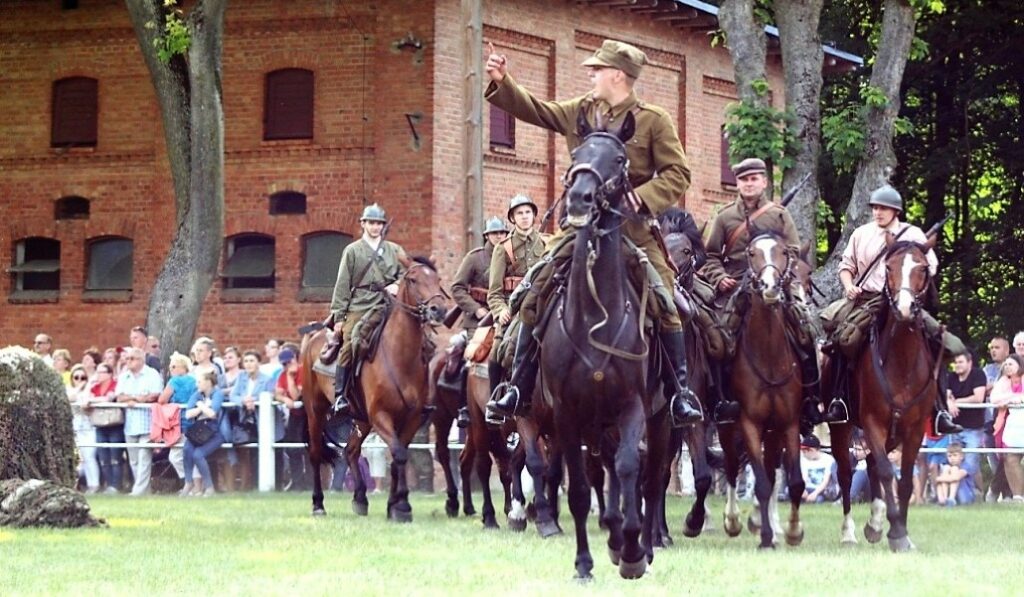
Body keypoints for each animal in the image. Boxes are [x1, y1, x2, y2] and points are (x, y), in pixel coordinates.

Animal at [301, 259, 450, 520]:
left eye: (437, 279)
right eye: (413, 280)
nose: (438, 310)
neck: (400, 356)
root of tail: (313, 337)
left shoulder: (411, 418)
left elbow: (399, 457)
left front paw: (394, 504)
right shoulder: (381, 416)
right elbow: (399, 454)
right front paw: (402, 506)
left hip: (362, 419)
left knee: (351, 451)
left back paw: (360, 498)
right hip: (316, 411)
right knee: (316, 453)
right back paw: (318, 504)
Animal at [540, 111, 667, 577]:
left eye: (618, 158)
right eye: (578, 151)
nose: (580, 198)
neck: (595, 316)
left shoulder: (633, 407)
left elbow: (631, 470)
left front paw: (632, 552)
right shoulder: (566, 415)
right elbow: (579, 489)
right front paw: (584, 561)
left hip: (662, 420)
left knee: (650, 477)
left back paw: (642, 543)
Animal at [720, 229, 806, 552]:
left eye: (783, 252)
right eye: (752, 253)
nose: (770, 287)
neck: (769, 357)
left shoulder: (789, 423)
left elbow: (793, 482)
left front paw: (793, 531)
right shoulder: (749, 424)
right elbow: (761, 483)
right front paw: (767, 537)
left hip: (773, 432)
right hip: (726, 426)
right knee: (732, 467)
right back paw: (733, 521)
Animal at [827, 233, 937, 552]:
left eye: (923, 267)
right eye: (888, 267)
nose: (904, 307)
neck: (902, 362)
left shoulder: (913, 429)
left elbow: (904, 480)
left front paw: (899, 531)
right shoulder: (873, 422)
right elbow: (888, 472)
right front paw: (897, 531)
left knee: (873, 464)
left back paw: (875, 524)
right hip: (842, 428)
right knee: (846, 473)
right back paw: (849, 532)